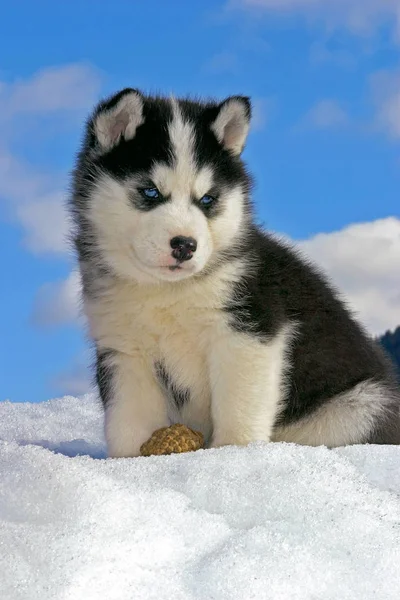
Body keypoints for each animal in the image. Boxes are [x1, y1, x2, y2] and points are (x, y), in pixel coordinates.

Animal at [69, 88, 400, 454]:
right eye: (150, 191)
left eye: (207, 199)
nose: (185, 245)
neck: (168, 292)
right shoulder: (124, 350)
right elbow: (127, 422)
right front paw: (131, 460)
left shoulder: (247, 330)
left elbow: (239, 406)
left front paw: (235, 454)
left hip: (361, 405)